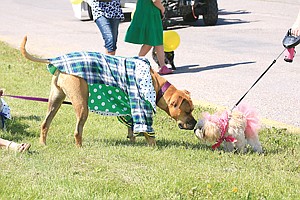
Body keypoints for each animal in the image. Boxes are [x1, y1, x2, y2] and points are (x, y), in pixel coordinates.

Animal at [19, 36, 196, 147]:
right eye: (187, 111)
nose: (195, 124)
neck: (158, 87)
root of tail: (58, 61)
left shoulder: (130, 109)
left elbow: (131, 128)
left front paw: (132, 140)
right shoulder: (141, 109)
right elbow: (147, 132)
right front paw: (154, 146)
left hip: (55, 100)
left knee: (45, 124)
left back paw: (43, 144)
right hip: (81, 105)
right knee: (77, 131)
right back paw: (80, 147)